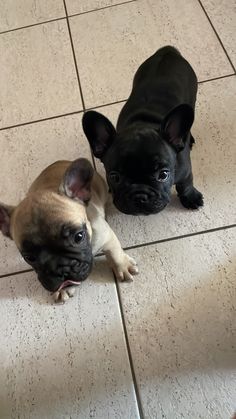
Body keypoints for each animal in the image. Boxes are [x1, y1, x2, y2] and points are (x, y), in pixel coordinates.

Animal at [0, 160, 138, 302]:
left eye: (79, 237)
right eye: (29, 258)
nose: (60, 271)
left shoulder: (106, 236)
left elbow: (115, 253)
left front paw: (123, 266)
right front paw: (63, 289)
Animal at [82, 46, 203, 215]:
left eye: (163, 175)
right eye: (114, 177)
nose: (139, 196)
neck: (143, 123)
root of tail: (168, 51)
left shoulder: (185, 171)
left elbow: (186, 184)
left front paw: (191, 197)